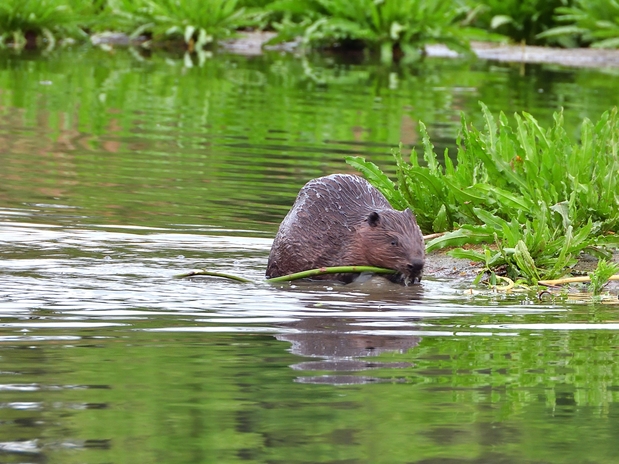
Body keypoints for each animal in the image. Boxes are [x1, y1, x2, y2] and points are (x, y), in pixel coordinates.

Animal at [266, 173, 426, 284]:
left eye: (420, 240)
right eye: (393, 242)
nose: (417, 264)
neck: (354, 229)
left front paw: (414, 278)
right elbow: (344, 272)